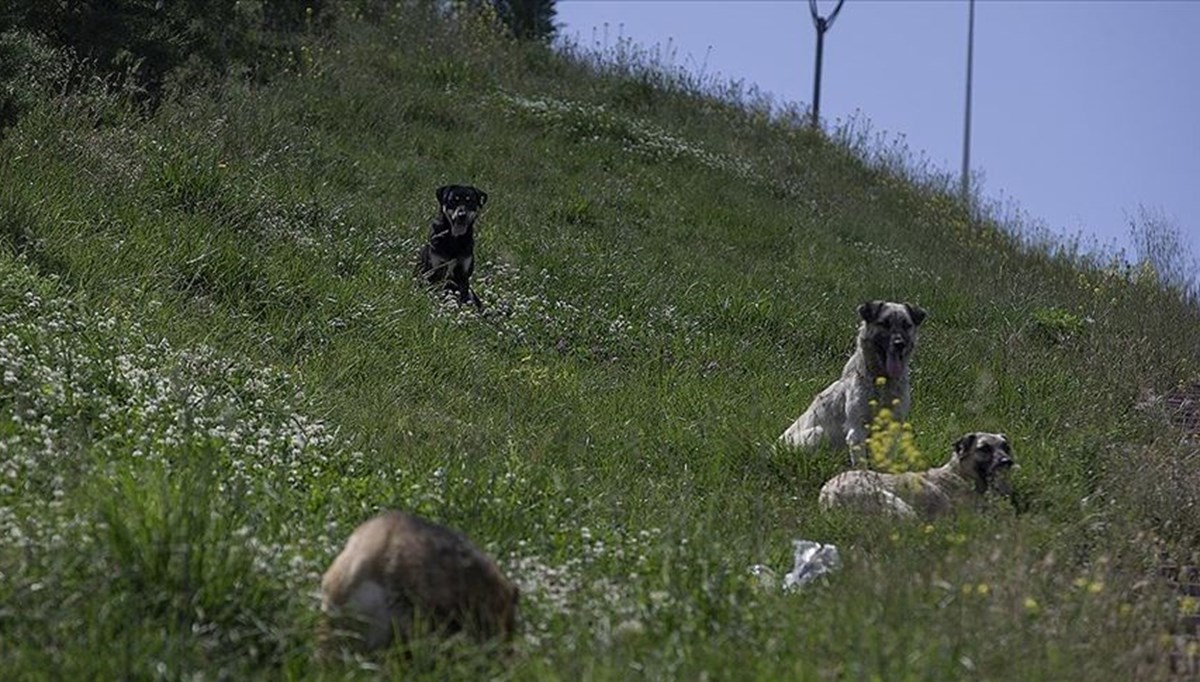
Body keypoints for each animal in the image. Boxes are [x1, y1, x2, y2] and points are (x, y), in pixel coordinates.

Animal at [777, 300, 926, 463]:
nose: (899, 344)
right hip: (819, 432)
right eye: (884, 324)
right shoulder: (857, 431)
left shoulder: (892, 430)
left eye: (906, 325)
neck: (883, 382)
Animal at [816, 432, 1012, 521]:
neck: (959, 474)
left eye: (1006, 447)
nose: (1007, 462)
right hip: (896, 505)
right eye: (984, 448)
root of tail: (828, 495)